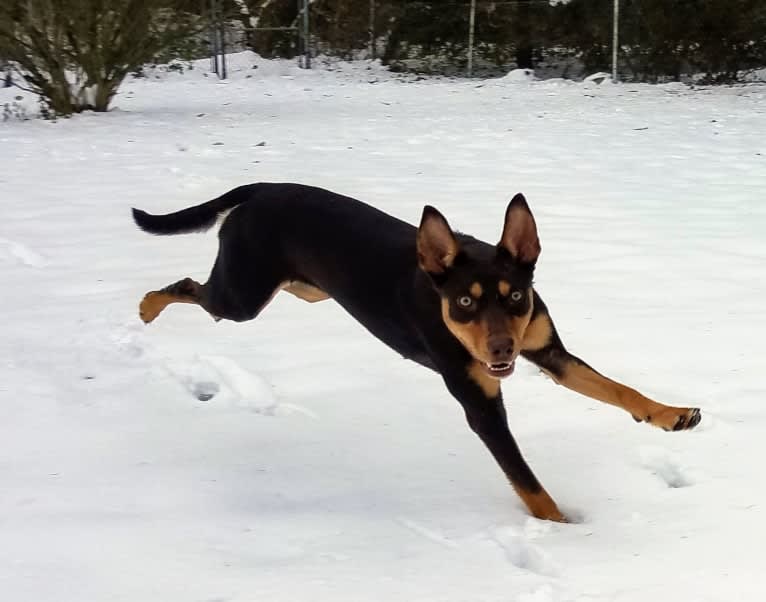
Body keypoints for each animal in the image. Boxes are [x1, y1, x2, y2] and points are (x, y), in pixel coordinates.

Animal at [134, 184, 704, 520]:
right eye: (465, 302)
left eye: (515, 297)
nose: (502, 347)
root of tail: (265, 189)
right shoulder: (481, 405)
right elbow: (529, 484)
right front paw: (568, 534)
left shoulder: (549, 352)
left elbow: (617, 388)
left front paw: (670, 414)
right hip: (242, 297)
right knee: (190, 287)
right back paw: (146, 306)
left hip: (298, 289)